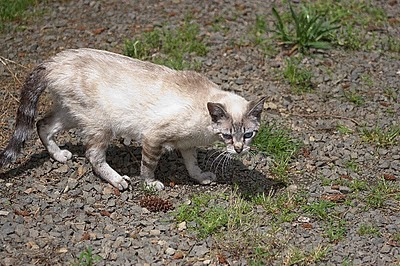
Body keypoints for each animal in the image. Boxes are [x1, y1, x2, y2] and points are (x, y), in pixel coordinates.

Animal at [0, 47, 266, 189]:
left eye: (249, 134)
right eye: (228, 136)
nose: (240, 149)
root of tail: (54, 60)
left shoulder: (187, 144)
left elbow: (192, 165)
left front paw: (200, 178)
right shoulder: (154, 138)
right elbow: (148, 167)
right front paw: (151, 184)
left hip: (72, 114)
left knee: (42, 125)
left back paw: (59, 156)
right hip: (100, 124)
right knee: (93, 156)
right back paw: (118, 180)